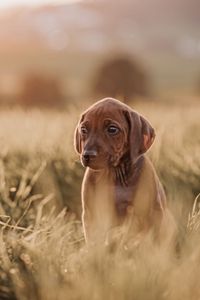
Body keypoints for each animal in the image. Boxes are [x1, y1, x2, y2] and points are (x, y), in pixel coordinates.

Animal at [74, 97, 174, 247]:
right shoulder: (91, 215)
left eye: (112, 129)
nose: (87, 155)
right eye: (84, 129)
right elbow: (94, 243)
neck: (115, 173)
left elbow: (153, 241)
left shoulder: (153, 213)